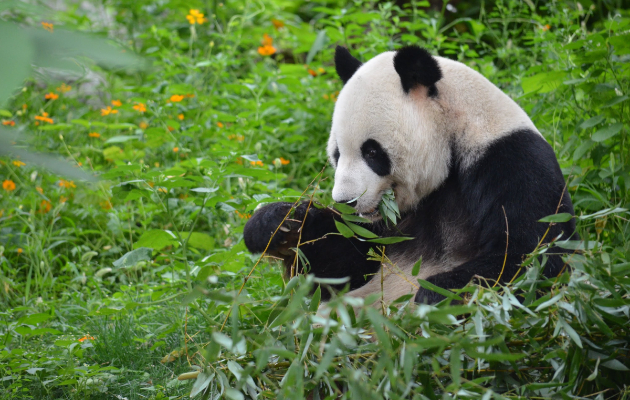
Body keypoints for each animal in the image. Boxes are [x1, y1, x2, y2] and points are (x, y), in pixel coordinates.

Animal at [244, 45, 580, 304]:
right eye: (337, 154)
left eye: (372, 152)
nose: (346, 201)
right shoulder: (384, 229)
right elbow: (347, 261)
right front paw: (278, 225)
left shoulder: (510, 161)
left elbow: (535, 254)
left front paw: (435, 292)